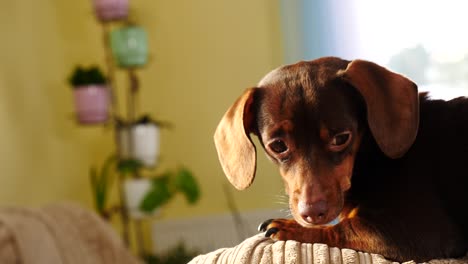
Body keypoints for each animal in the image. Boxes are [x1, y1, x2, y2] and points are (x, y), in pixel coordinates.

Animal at [213, 57, 468, 262]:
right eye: (277, 146)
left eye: (341, 138)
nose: (312, 213)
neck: (369, 157)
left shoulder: (419, 231)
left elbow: (343, 229)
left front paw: (290, 228)